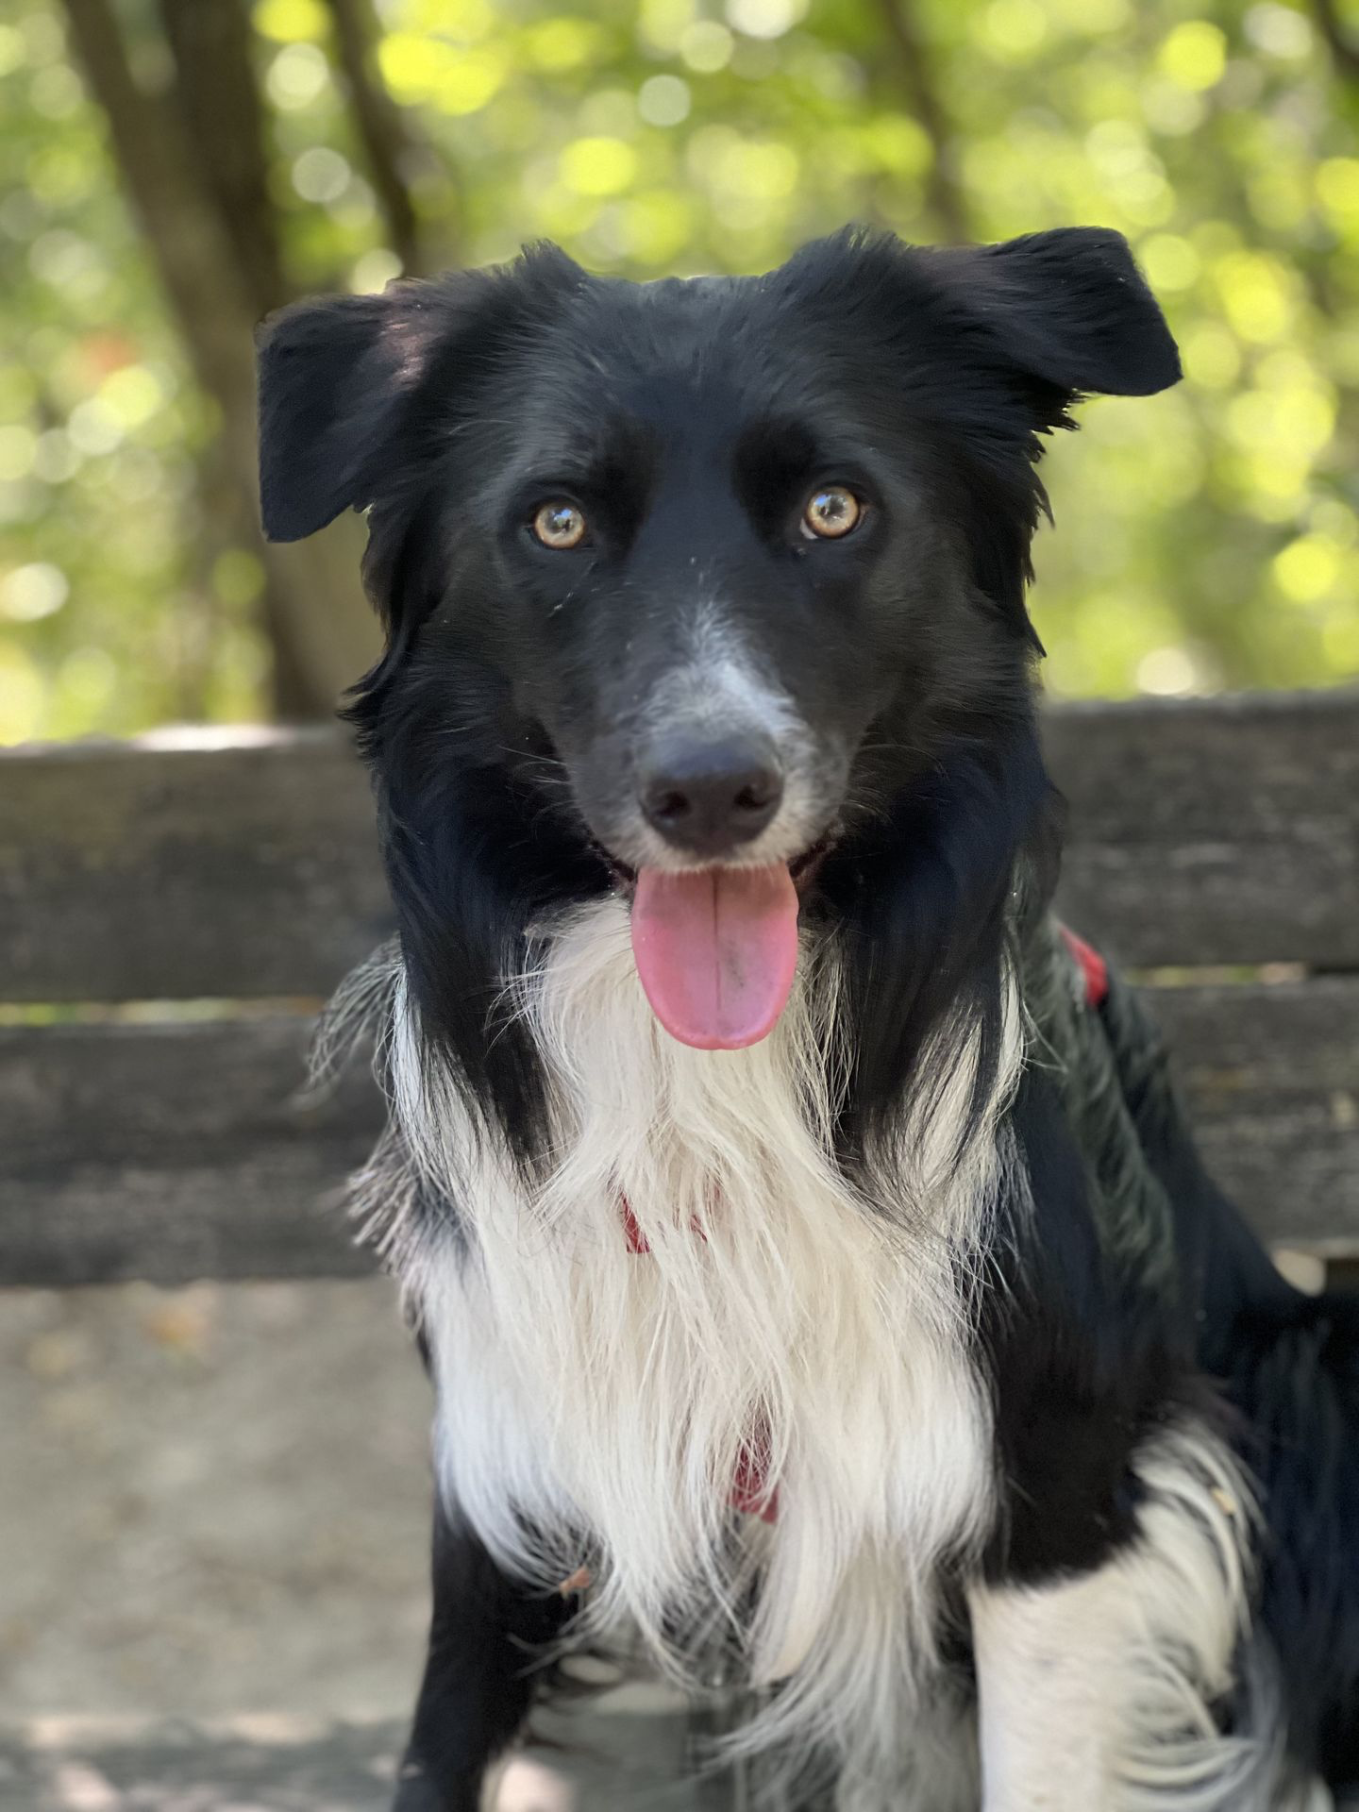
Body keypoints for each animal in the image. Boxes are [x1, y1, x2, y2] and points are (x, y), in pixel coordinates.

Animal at [256, 227, 1359, 1810]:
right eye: (556, 524)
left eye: (833, 510)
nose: (710, 789)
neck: (713, 1091)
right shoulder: (504, 1462)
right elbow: (437, 1748)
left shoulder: (1066, 1489)